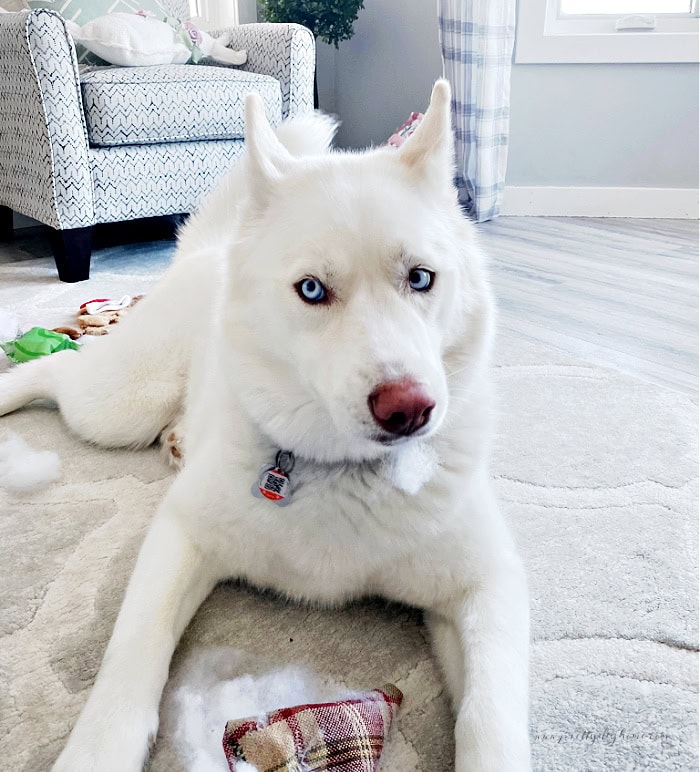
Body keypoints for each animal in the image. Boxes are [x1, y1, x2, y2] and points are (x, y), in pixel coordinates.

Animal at [0, 81, 524, 768]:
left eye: (420, 278)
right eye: (312, 290)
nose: (408, 407)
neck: (342, 475)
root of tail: (208, 250)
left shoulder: (485, 586)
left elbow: (490, 715)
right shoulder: (181, 533)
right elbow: (133, 650)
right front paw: (98, 750)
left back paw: (177, 439)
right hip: (115, 406)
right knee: (58, 372)